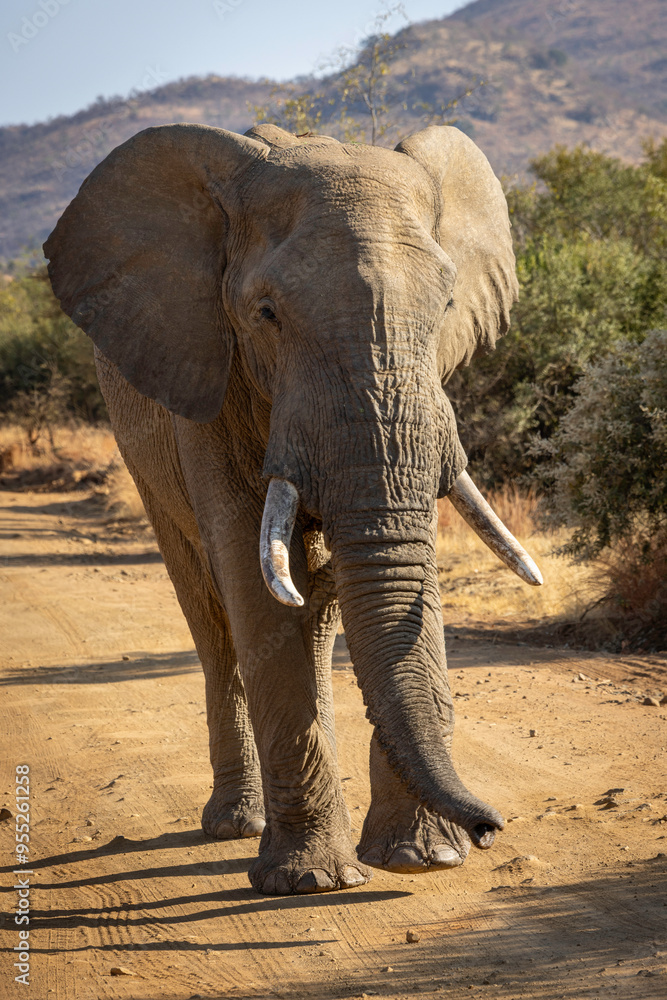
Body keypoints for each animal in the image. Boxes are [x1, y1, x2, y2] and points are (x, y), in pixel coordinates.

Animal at [43, 121, 542, 896]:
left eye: (446, 308)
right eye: (266, 315)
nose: (491, 829)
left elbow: (399, 568)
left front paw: (420, 859)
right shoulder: (207, 383)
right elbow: (255, 587)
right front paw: (311, 882)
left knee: (309, 615)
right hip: (140, 445)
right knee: (212, 612)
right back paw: (236, 824)